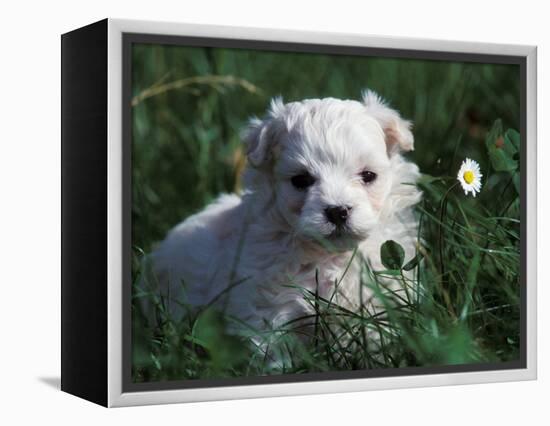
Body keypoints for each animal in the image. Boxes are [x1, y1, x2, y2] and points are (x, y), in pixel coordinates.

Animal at [142, 91, 422, 344]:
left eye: (368, 176)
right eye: (301, 180)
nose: (337, 211)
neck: (329, 256)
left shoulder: (378, 301)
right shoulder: (268, 309)